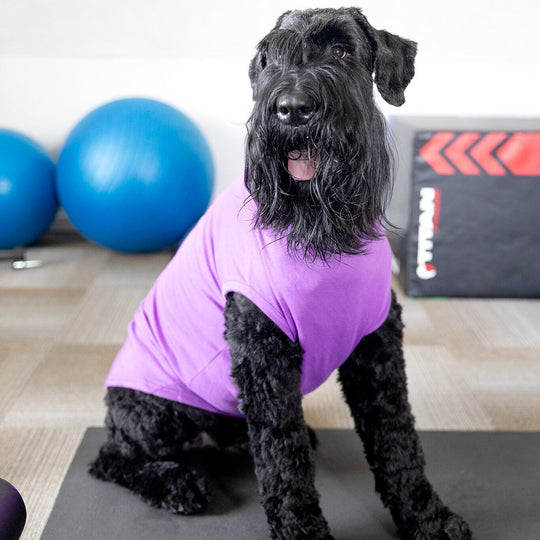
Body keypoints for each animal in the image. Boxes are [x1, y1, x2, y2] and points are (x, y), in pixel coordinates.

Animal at [89, 8, 472, 540]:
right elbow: (283, 461)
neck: (322, 229)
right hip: (156, 413)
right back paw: (177, 484)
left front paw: (428, 517)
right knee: (111, 457)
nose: (292, 110)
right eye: (270, 59)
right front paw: (302, 530)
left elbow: (398, 442)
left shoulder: (377, 348)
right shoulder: (264, 354)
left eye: (342, 51)